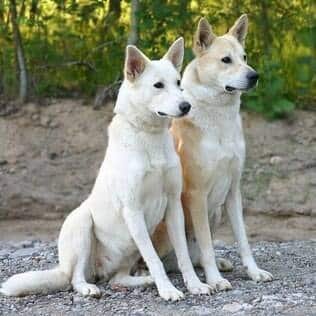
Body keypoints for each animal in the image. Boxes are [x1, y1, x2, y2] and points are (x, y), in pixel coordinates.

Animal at [1, 39, 212, 302]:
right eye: (158, 85)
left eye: (178, 83)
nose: (186, 106)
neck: (149, 137)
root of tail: (97, 271)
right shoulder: (133, 210)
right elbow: (155, 259)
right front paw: (168, 290)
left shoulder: (173, 205)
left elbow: (182, 255)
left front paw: (194, 285)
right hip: (82, 223)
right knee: (75, 278)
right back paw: (89, 288)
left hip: (130, 248)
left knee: (117, 279)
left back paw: (144, 280)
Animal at [152, 14, 272, 292]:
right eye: (226, 60)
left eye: (245, 57)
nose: (255, 76)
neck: (220, 118)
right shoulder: (196, 194)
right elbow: (206, 244)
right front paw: (215, 279)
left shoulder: (234, 191)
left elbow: (243, 240)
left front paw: (254, 272)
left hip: (216, 212)